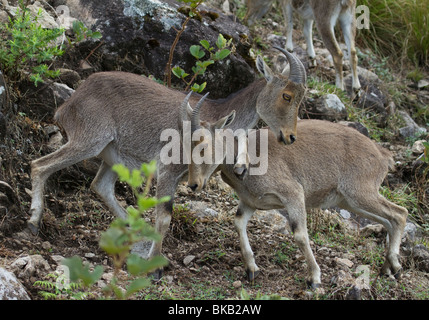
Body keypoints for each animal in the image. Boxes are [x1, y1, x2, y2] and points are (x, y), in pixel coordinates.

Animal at [27, 48, 308, 278]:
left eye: (300, 97)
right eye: (286, 95)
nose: (290, 136)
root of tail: (67, 105)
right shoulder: (167, 171)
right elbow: (164, 217)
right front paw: (155, 268)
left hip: (113, 155)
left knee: (100, 185)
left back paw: (136, 236)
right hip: (88, 140)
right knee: (40, 165)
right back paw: (32, 222)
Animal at [182, 95, 406, 288]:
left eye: (204, 146)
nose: (193, 184)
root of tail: (383, 155)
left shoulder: (293, 194)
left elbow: (299, 234)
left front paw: (314, 278)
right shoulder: (250, 202)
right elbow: (238, 222)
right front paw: (252, 269)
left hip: (360, 192)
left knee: (399, 213)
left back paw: (394, 265)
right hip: (349, 201)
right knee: (389, 220)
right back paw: (388, 267)